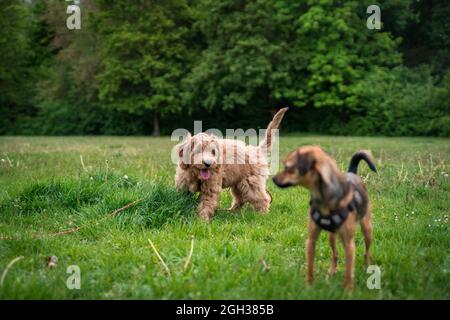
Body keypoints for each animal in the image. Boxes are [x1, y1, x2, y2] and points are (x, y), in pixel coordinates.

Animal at [272, 147, 378, 290]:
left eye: (288, 167)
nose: (273, 178)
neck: (323, 199)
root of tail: (352, 173)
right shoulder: (311, 241)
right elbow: (310, 267)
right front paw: (308, 287)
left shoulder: (349, 245)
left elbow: (349, 273)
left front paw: (348, 290)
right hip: (331, 236)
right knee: (335, 254)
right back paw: (332, 271)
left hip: (367, 229)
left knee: (367, 252)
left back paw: (367, 268)